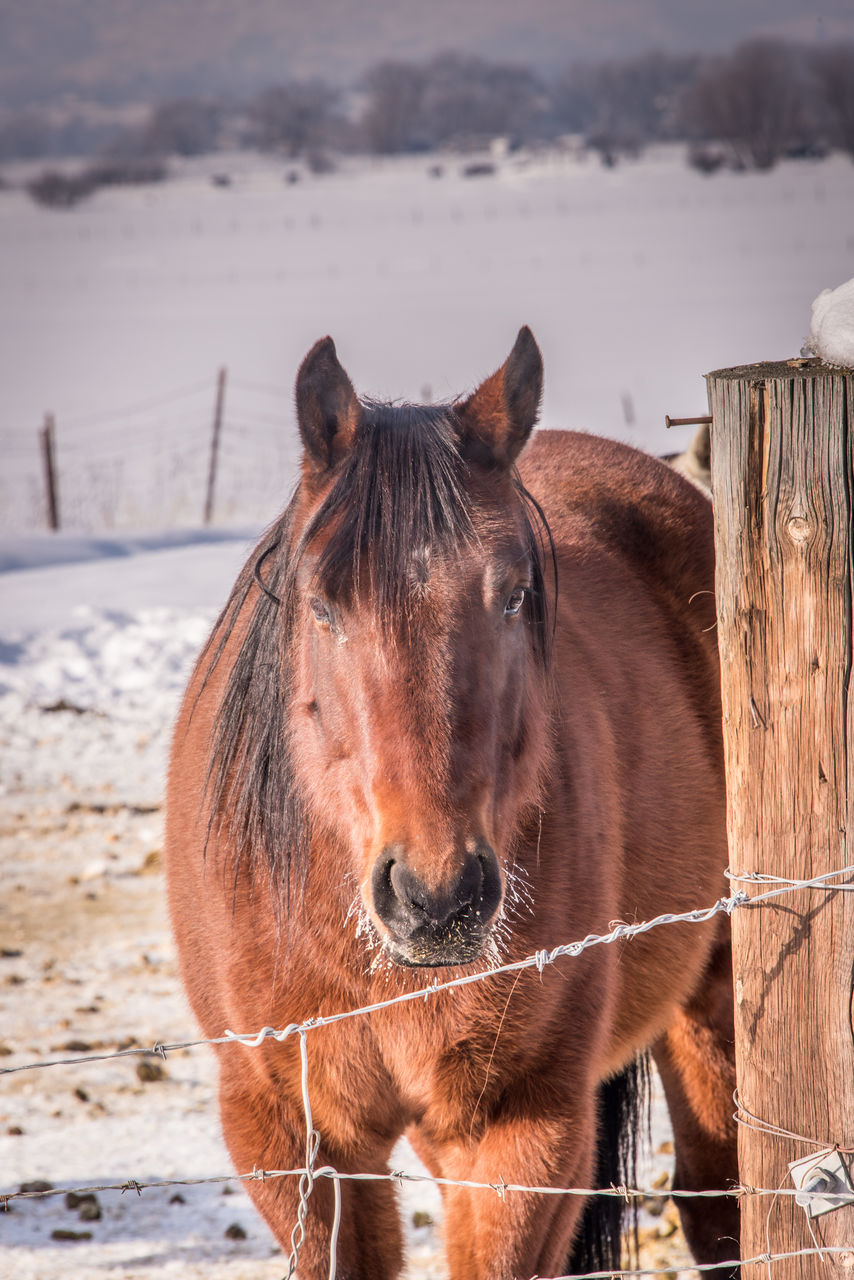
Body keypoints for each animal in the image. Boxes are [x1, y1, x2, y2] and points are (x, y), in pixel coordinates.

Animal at [163, 332, 737, 1280]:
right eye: (323, 604)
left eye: (513, 594)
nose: (437, 898)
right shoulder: (290, 1137)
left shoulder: (519, 1131)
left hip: (714, 993)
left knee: (719, 1195)